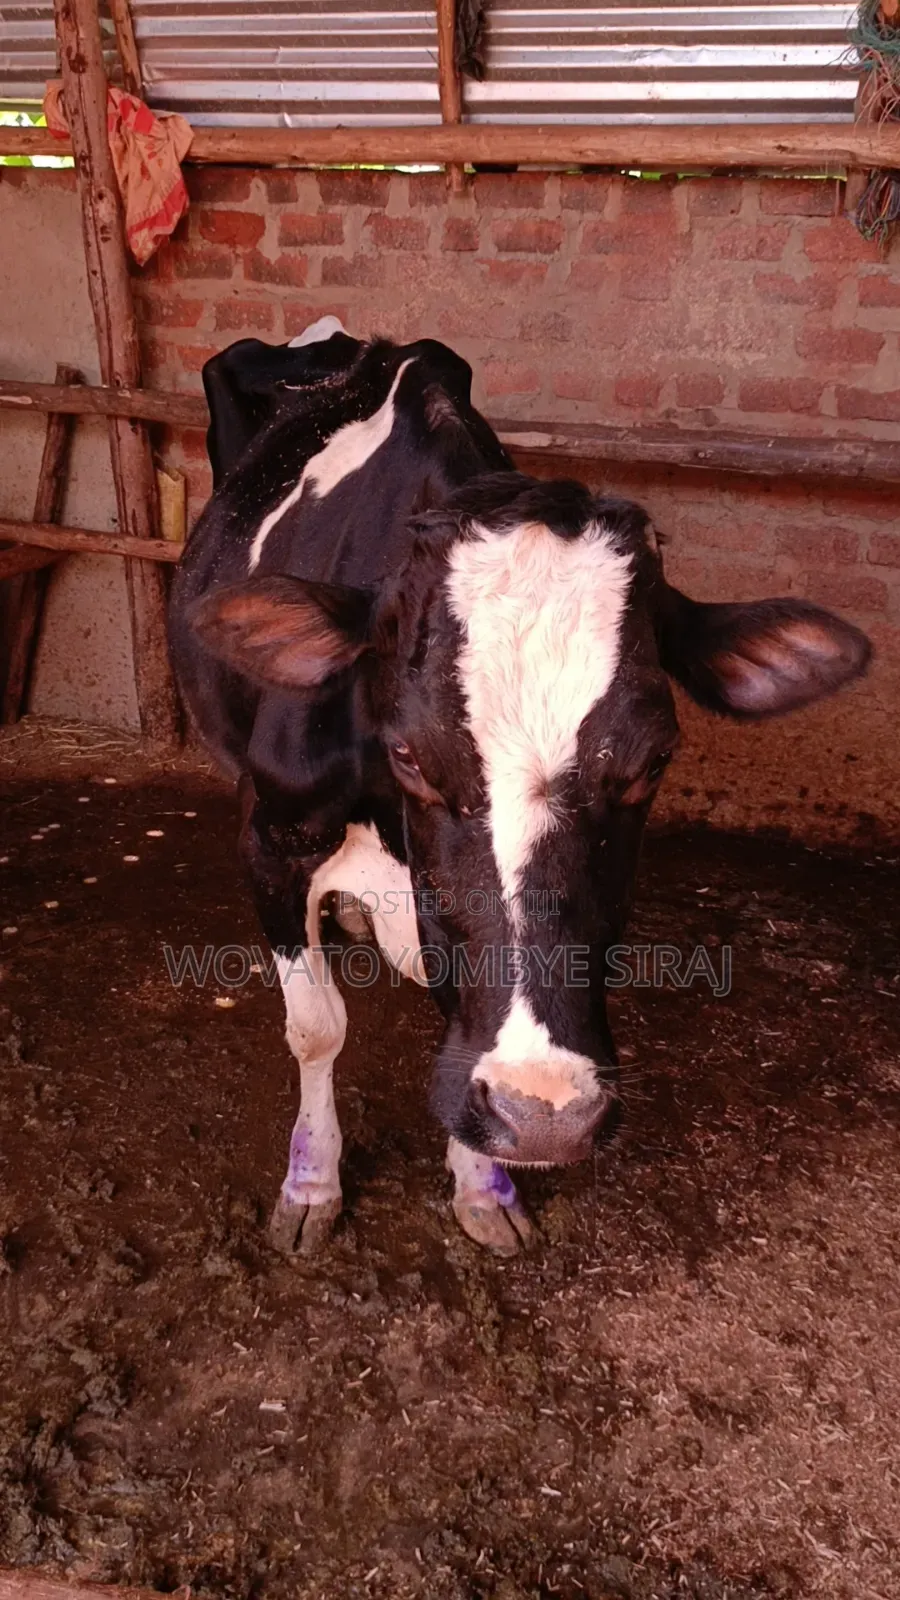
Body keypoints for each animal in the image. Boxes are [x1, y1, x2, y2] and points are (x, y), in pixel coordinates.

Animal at [168, 321, 871, 1258]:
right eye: (408, 752)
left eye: (654, 760)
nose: (546, 1117)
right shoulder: (269, 839)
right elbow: (317, 1025)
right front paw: (312, 1183)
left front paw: (484, 1181)